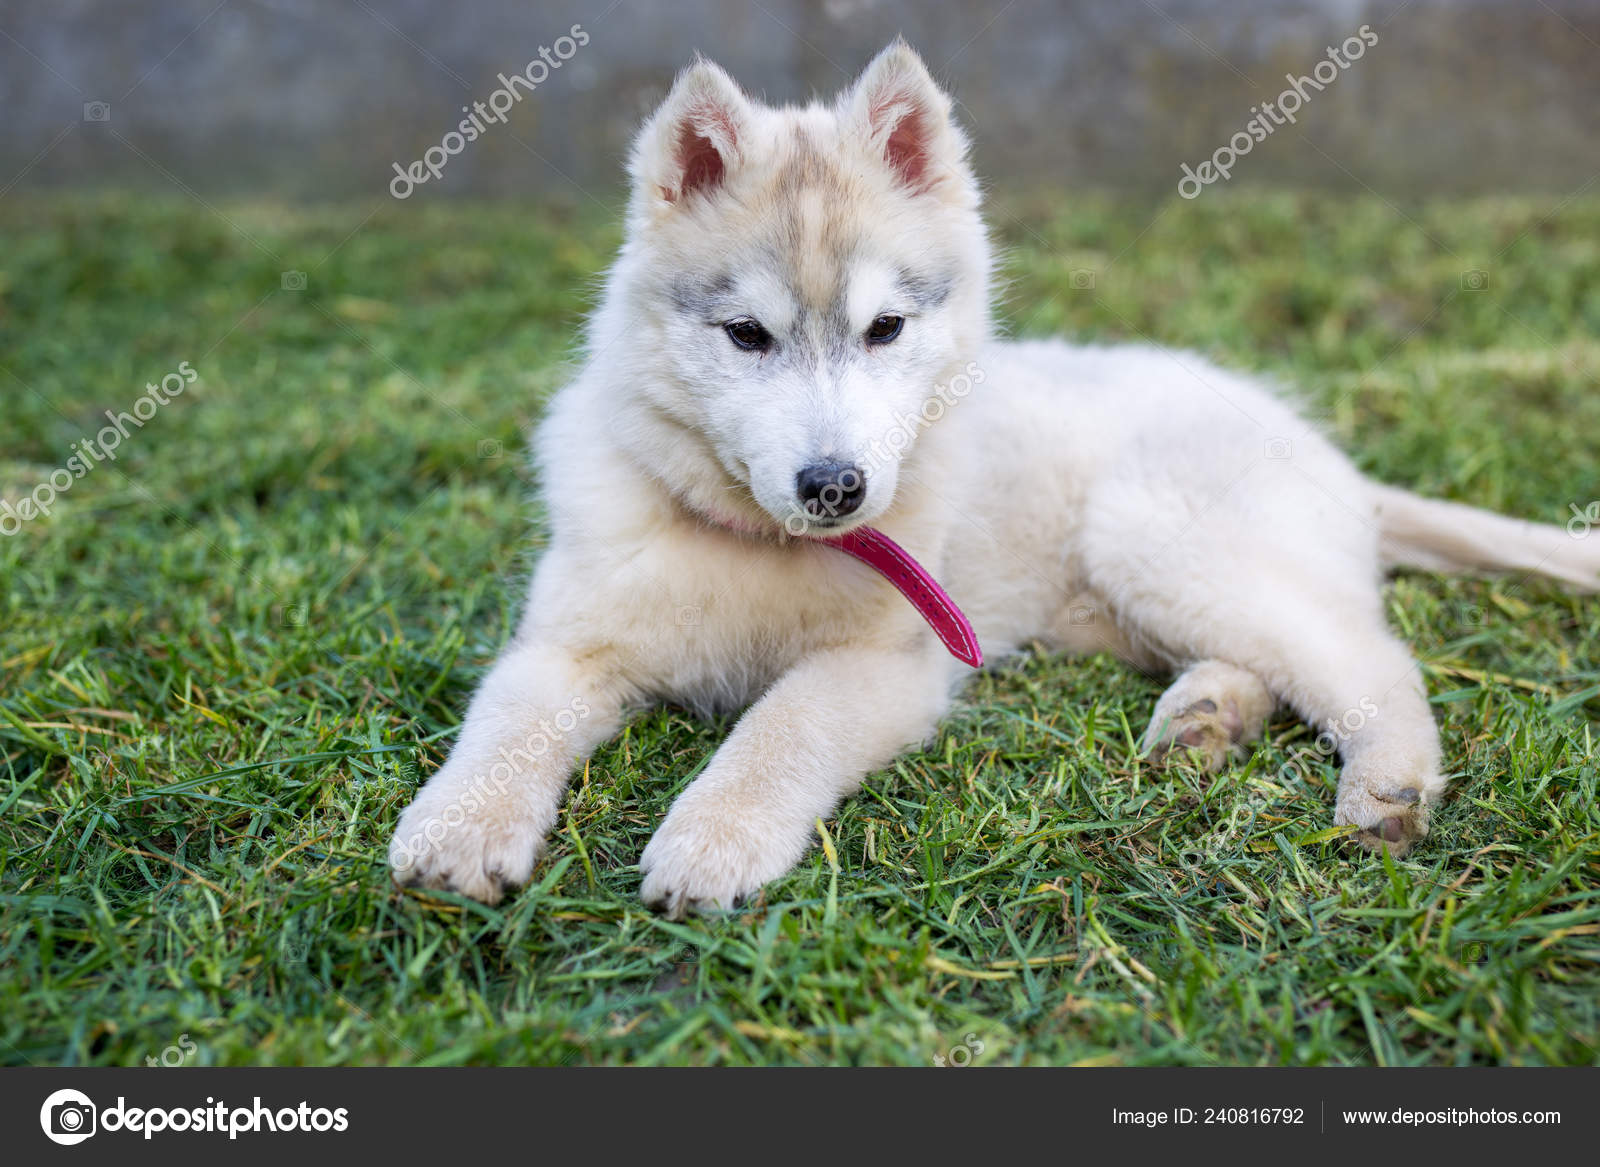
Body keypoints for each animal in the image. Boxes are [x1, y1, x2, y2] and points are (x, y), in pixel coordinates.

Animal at [390, 41, 1600, 915]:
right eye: (746, 336)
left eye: (884, 329)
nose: (834, 488)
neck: (761, 546)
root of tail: (1328, 457)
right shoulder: (566, 642)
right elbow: (503, 722)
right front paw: (457, 831)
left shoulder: (888, 664)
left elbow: (774, 732)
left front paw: (711, 838)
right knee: (1276, 659)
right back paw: (1205, 718)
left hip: (1157, 539)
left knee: (1370, 660)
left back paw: (1385, 782)